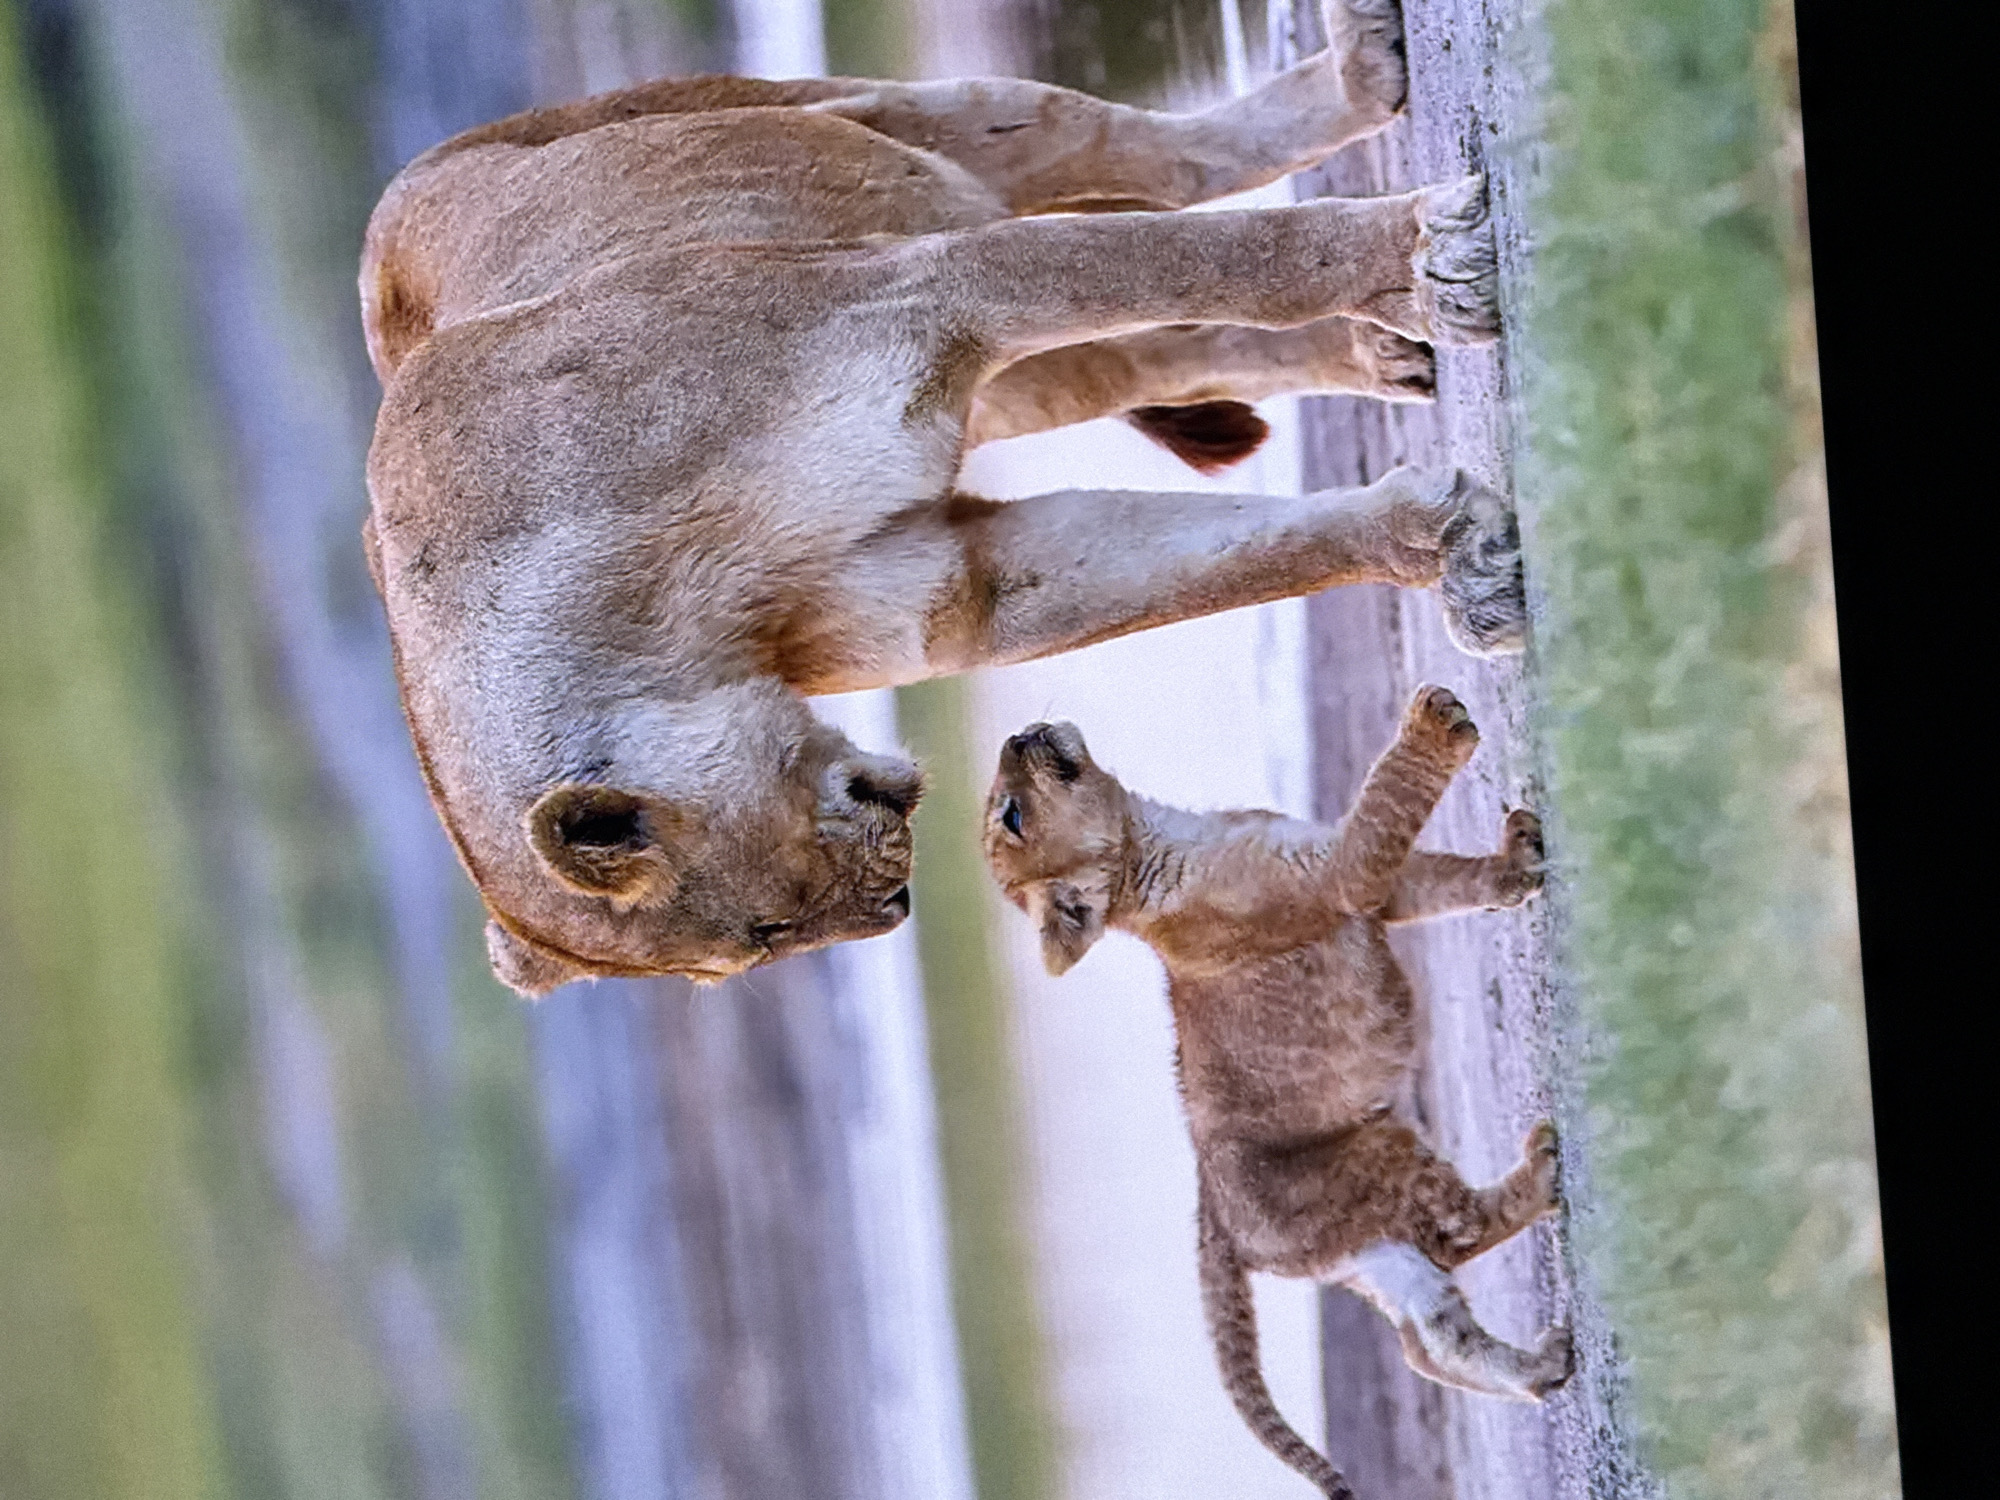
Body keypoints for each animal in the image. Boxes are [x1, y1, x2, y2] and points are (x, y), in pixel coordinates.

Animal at [358, 0, 1529, 995]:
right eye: (764, 945)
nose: (894, 906)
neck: (675, 610)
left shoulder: (929, 293)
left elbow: (1238, 260)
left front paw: (1438, 262)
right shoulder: (955, 583)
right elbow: (1238, 558)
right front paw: (1457, 549)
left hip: (902, 126)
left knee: (1161, 159)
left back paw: (1373, 88)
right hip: (1002, 353)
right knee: (1159, 352)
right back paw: (1386, 355)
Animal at [980, 691, 1573, 1498]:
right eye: (1011, 815)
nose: (1014, 736)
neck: (1156, 836)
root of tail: (1214, 1220)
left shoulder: (1373, 892)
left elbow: (1447, 877)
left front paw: (1518, 860)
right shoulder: (1342, 876)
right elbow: (1389, 801)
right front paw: (1435, 723)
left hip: (1363, 1249)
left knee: (1428, 1341)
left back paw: (1546, 1367)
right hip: (1373, 1157)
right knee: (1459, 1234)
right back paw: (1543, 1176)